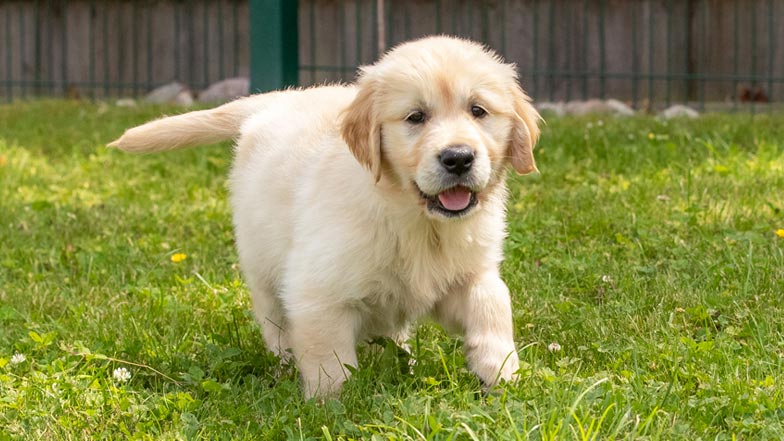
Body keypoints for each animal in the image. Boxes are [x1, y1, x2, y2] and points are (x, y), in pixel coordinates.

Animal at [108, 36, 540, 398]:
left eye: (478, 111)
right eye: (415, 117)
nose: (459, 158)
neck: (414, 219)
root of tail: (274, 101)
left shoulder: (468, 270)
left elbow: (492, 301)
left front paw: (499, 369)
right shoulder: (317, 291)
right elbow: (329, 359)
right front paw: (333, 406)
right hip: (263, 266)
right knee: (276, 323)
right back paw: (285, 364)